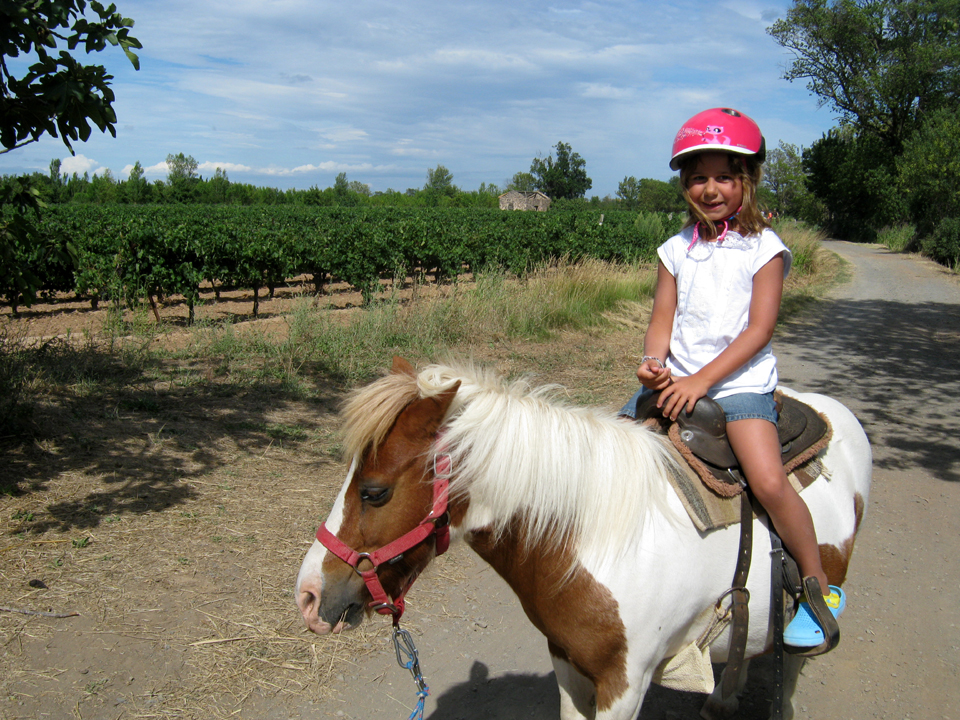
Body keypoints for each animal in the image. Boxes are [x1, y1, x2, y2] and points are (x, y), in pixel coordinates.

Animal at [295, 357, 871, 720]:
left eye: (373, 492)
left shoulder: (626, 684)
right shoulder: (568, 665)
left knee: (792, 660)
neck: (592, 538)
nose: (308, 596)